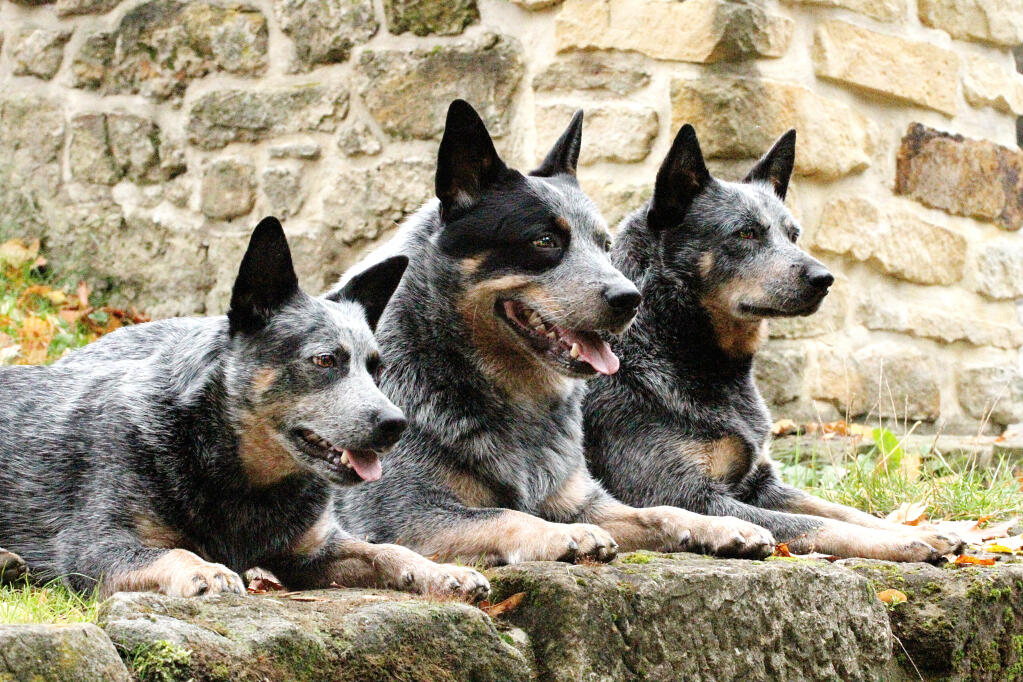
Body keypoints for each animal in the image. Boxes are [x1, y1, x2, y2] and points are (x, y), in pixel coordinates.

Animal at [0, 215, 491, 601]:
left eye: (376, 367)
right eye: (325, 360)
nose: (396, 424)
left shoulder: (311, 550)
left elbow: (386, 549)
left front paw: (441, 571)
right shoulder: (95, 546)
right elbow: (174, 551)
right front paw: (204, 569)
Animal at [331, 100, 769, 564]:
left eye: (604, 245)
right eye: (544, 241)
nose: (630, 298)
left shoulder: (581, 499)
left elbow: (661, 511)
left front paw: (723, 526)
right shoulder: (404, 515)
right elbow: (508, 515)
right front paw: (567, 535)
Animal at [581, 125, 961, 564]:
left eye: (793, 235)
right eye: (746, 232)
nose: (824, 278)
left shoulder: (761, 482)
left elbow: (840, 510)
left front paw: (915, 529)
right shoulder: (679, 492)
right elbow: (816, 523)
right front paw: (901, 543)